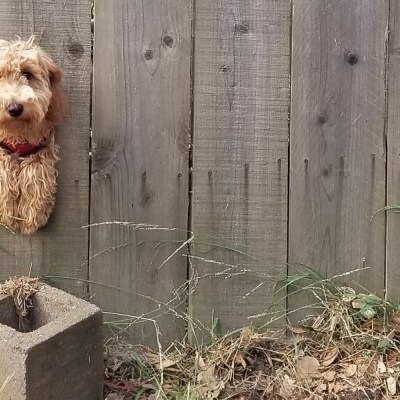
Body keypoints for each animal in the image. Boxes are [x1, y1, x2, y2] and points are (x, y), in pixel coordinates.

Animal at [0, 37, 64, 234]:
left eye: (27, 74)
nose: (14, 108)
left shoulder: (42, 145)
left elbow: (36, 172)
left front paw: (32, 216)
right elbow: (4, 169)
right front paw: (8, 212)